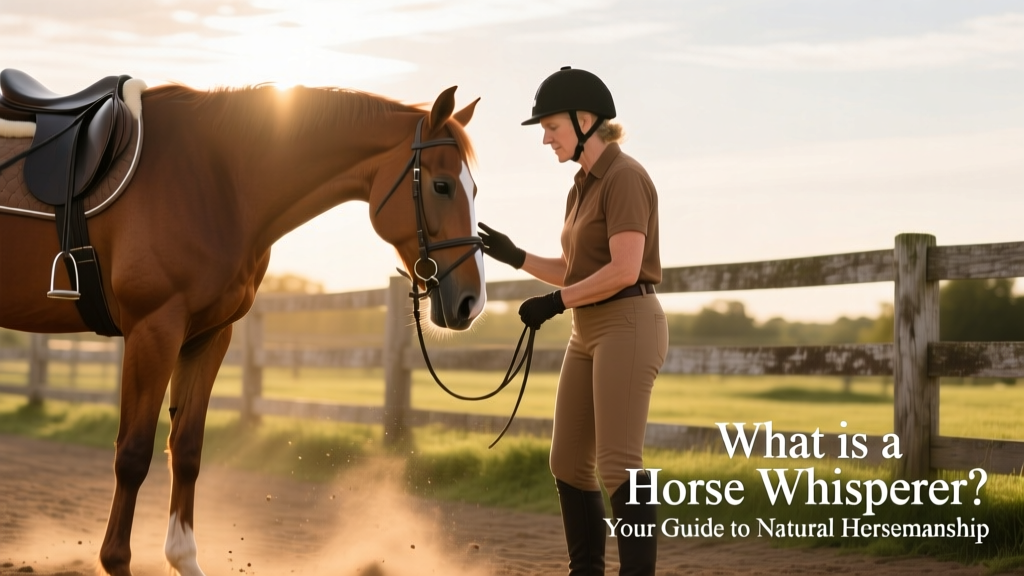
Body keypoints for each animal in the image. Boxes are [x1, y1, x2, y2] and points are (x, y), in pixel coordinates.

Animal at [0, 80, 486, 576]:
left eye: (472, 188)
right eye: (442, 186)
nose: (471, 301)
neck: (218, 179)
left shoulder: (208, 336)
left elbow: (187, 449)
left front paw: (184, 558)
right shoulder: (154, 329)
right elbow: (133, 453)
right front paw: (116, 561)